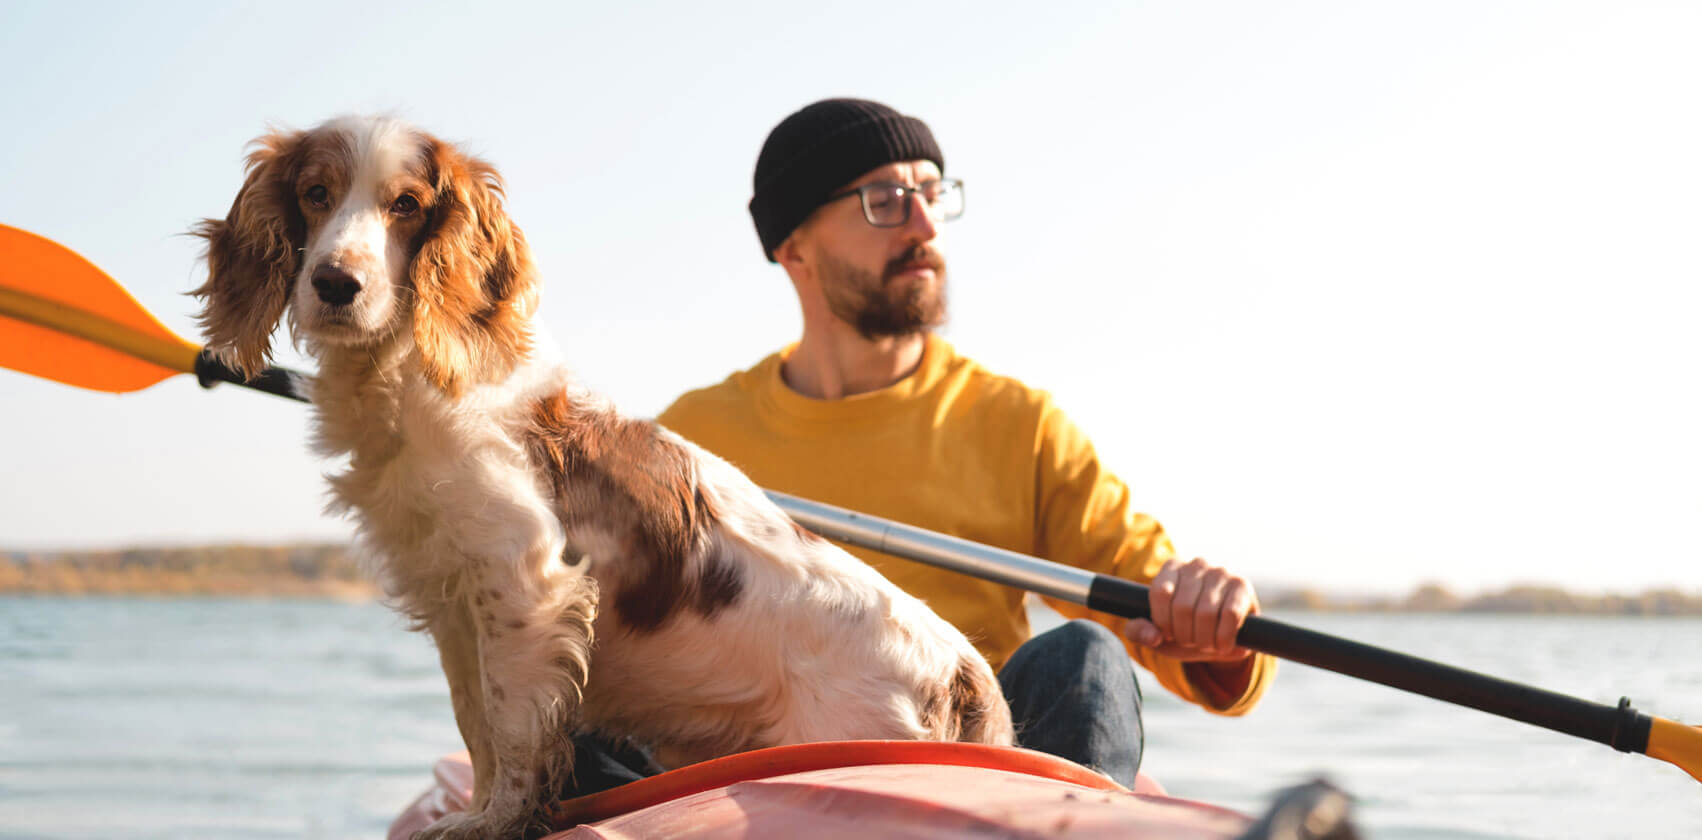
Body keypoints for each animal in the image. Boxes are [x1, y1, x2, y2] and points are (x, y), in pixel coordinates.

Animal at [189, 118, 1007, 840]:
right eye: (315, 193)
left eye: (407, 205)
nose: (335, 284)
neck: (413, 371)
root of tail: (962, 671)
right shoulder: (454, 598)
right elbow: (475, 721)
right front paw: (477, 810)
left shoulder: (524, 577)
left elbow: (511, 724)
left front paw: (493, 821)